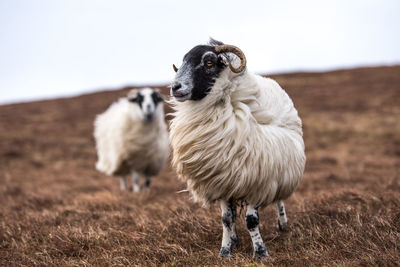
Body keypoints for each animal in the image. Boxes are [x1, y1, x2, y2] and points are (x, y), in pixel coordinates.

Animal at [169, 39, 306, 260]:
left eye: (208, 62)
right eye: (183, 61)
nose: (175, 87)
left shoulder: (256, 179)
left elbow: (251, 220)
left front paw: (260, 253)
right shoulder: (223, 179)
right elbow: (226, 219)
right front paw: (225, 251)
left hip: (280, 168)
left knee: (279, 200)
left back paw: (283, 225)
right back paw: (234, 239)